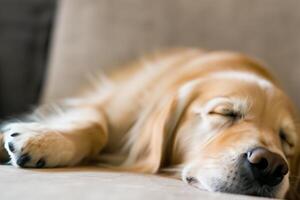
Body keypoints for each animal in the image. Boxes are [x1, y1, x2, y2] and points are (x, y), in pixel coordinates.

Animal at [0, 48, 300, 198]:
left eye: (286, 138)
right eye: (225, 113)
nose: (271, 164)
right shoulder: (110, 103)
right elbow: (97, 126)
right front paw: (42, 138)